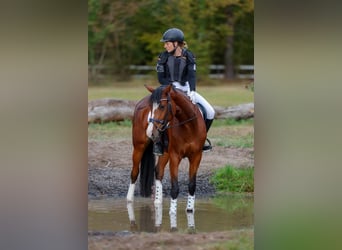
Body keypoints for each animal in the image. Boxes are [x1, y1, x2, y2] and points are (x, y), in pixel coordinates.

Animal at [125, 83, 206, 225]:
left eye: (162, 106)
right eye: (152, 107)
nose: (151, 132)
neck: (189, 126)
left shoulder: (196, 156)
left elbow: (192, 185)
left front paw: (190, 210)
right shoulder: (175, 157)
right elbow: (175, 187)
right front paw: (172, 212)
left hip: (165, 152)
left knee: (158, 171)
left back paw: (158, 201)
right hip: (139, 147)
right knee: (134, 172)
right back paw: (129, 200)